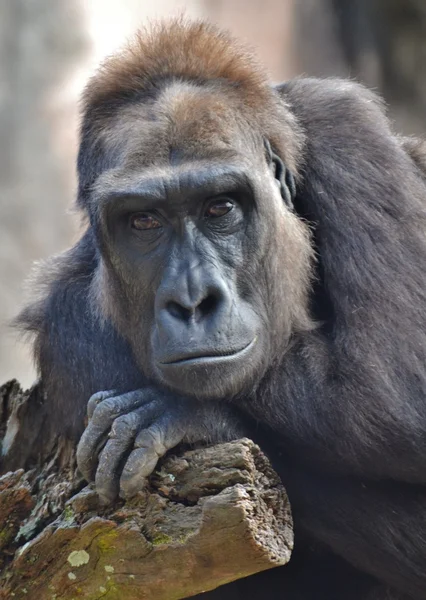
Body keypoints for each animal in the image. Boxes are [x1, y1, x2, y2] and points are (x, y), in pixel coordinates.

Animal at [16, 17, 426, 600]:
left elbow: (395, 388)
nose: (192, 301)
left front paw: (188, 416)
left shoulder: (343, 128)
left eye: (221, 208)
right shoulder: (67, 327)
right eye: (144, 221)